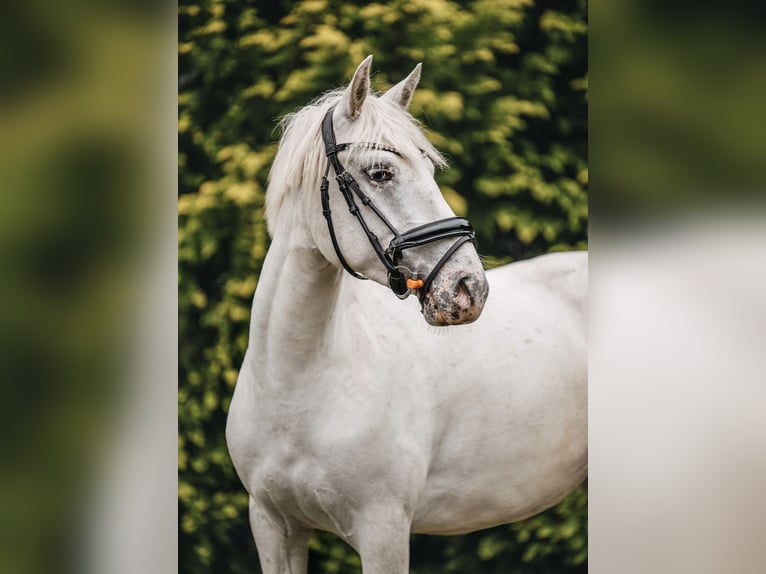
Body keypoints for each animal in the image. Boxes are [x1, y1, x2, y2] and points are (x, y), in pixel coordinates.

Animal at [226, 55, 587, 574]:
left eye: (430, 169)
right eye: (380, 173)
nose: (468, 288)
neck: (296, 387)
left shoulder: (383, 529)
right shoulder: (274, 526)